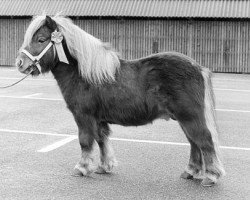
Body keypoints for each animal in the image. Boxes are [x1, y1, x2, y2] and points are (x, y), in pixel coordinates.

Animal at [16, 14, 226, 187]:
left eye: (41, 39)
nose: (20, 63)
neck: (83, 74)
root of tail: (198, 67)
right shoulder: (98, 119)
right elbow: (101, 140)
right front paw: (104, 167)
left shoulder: (84, 116)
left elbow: (85, 141)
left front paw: (82, 168)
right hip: (184, 119)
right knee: (194, 142)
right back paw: (190, 172)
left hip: (190, 117)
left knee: (204, 140)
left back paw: (210, 177)